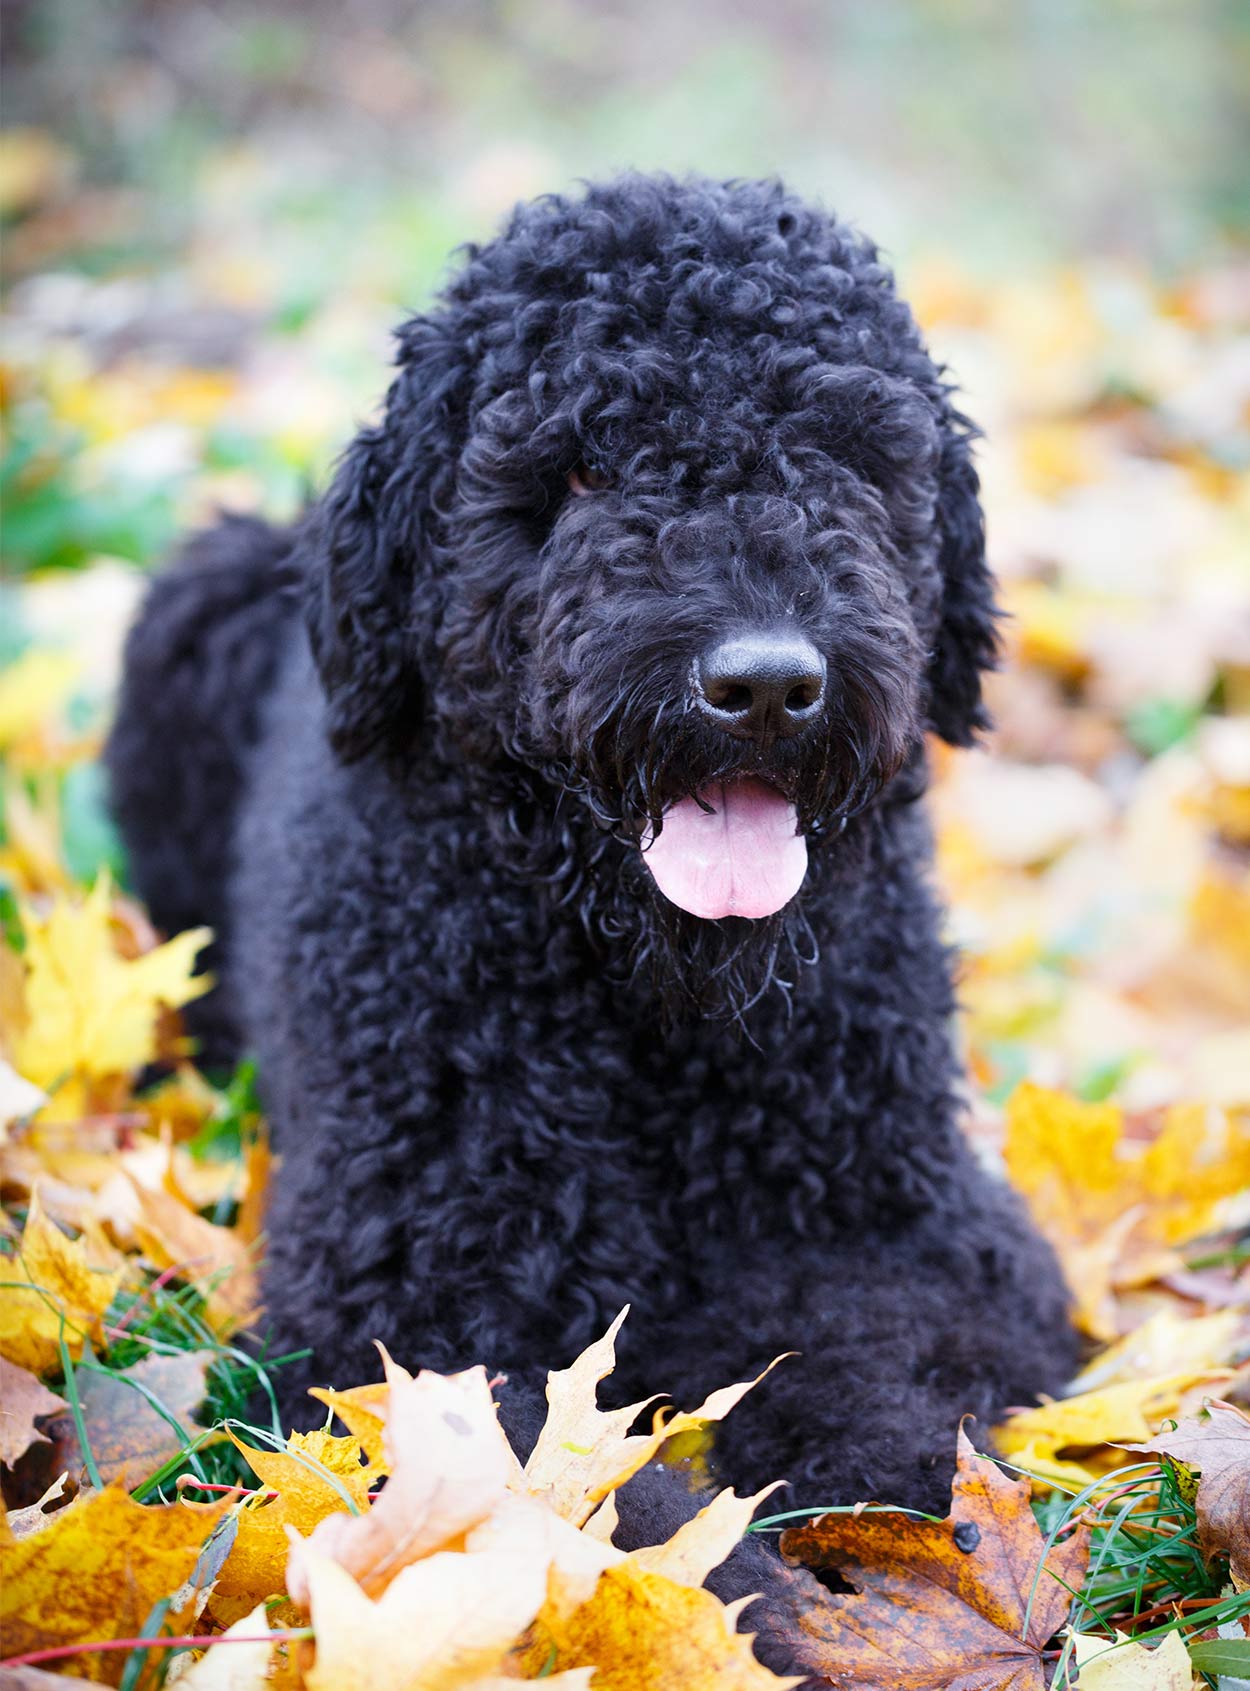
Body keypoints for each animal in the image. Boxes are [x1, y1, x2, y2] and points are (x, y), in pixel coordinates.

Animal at [107, 178, 1082, 1548]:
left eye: (845, 455)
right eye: (577, 466)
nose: (763, 683)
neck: (655, 1019)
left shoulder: (926, 1234)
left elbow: (884, 1377)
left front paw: (890, 1521)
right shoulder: (405, 1317)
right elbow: (585, 1524)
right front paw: (759, 1587)